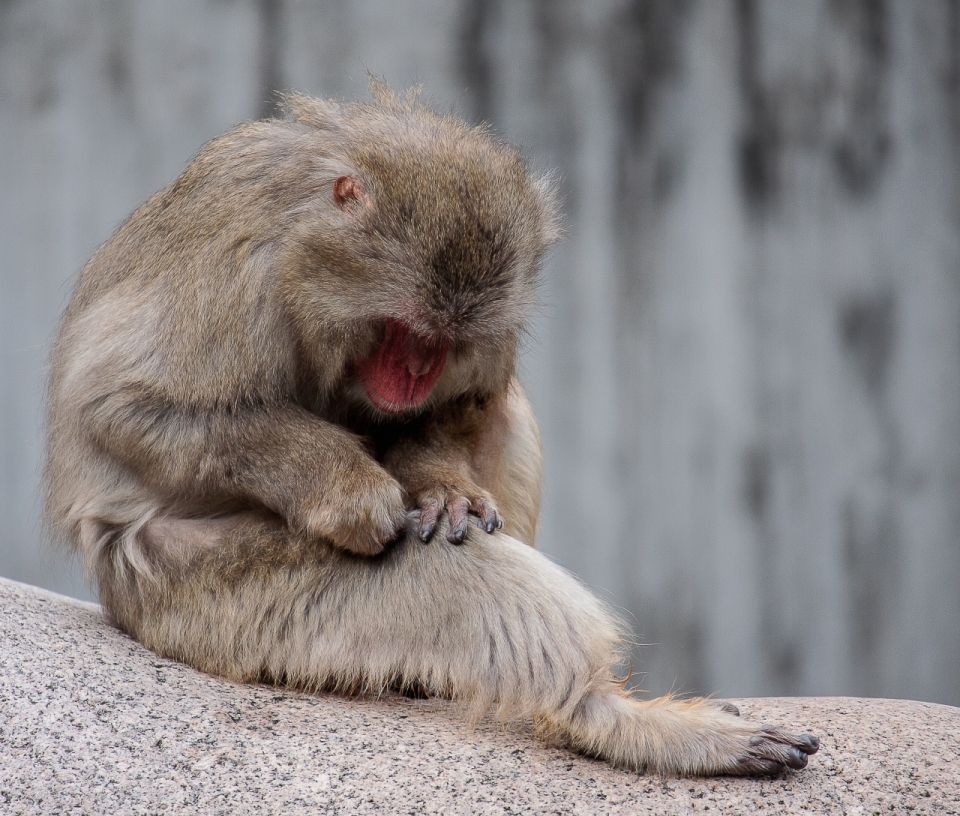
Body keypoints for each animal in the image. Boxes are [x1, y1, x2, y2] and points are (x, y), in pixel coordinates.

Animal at [45, 84, 816, 776]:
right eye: (402, 329)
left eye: (443, 341)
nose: (417, 371)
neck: (303, 258)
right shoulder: (236, 271)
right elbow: (126, 409)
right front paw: (350, 492)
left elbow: (466, 407)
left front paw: (442, 488)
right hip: (205, 597)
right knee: (456, 576)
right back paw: (607, 718)